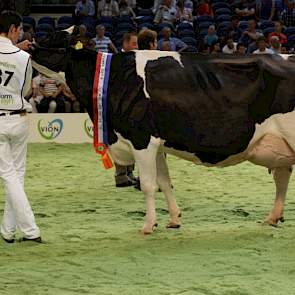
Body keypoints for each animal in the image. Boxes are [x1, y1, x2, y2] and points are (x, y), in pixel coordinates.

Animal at [33, 40, 295, 235]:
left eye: (57, 46)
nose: (32, 46)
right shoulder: (157, 145)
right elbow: (164, 182)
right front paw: (174, 219)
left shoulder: (142, 139)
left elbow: (148, 185)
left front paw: (148, 225)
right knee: (282, 178)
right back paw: (272, 218)